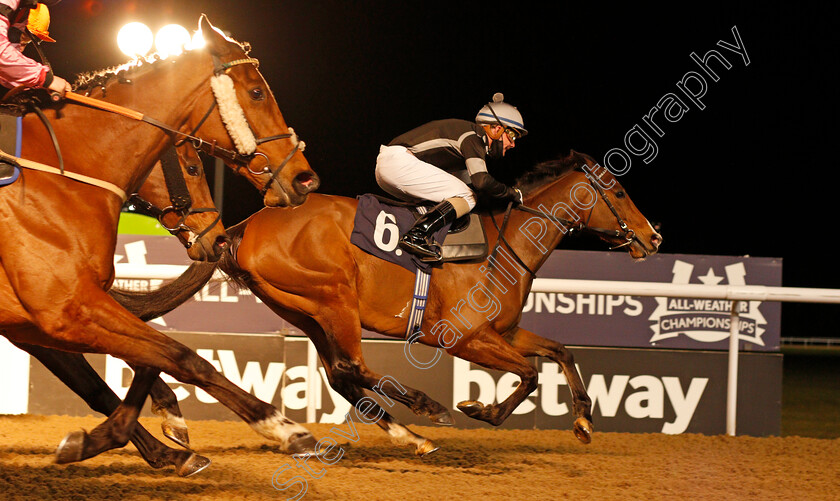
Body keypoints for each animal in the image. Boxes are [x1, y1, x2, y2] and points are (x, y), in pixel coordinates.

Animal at [0, 16, 322, 468]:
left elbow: (135, 367)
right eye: (257, 92)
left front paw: (147, 437)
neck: (60, 173)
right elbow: (184, 357)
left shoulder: (39, 320)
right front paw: (283, 426)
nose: (304, 179)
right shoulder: (66, 310)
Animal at [116, 149, 664, 454]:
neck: (506, 243)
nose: (653, 237)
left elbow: (560, 352)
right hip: (334, 297)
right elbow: (529, 374)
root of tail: (245, 225)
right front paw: (480, 408)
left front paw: (584, 421)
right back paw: (427, 409)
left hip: (303, 308)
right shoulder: (464, 338)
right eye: (617, 190)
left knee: (341, 373)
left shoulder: (502, 332)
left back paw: (411, 435)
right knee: (351, 367)